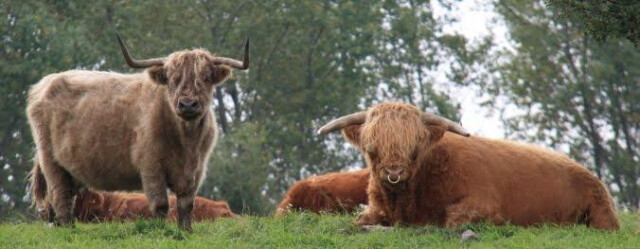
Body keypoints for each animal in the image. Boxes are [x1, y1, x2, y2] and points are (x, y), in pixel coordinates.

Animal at [27, 34, 249, 231]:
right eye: (173, 79)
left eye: (205, 78)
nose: (187, 104)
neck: (186, 140)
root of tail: (44, 84)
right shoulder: (150, 165)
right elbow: (161, 204)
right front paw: (161, 231)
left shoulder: (196, 170)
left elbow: (186, 205)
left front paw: (186, 231)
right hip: (50, 159)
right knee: (60, 195)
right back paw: (67, 228)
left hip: (71, 167)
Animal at [318, 102, 620, 231]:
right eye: (372, 149)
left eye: (414, 149)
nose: (394, 173)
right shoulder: (376, 208)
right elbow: (361, 219)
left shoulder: (483, 204)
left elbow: (453, 220)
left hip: (603, 216)